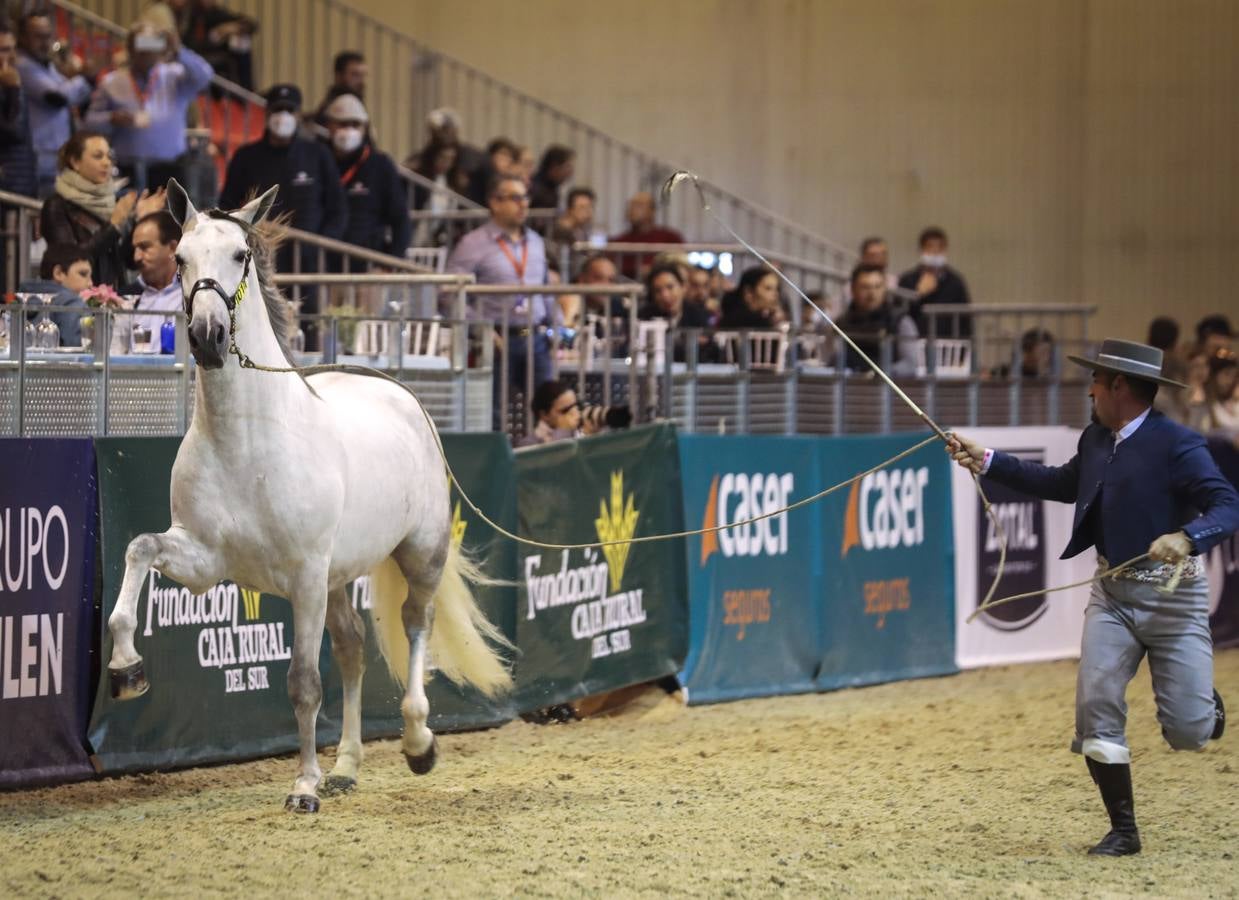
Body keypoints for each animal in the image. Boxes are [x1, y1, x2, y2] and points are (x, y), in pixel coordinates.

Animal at [104, 179, 510, 813]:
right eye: (180, 258)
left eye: (240, 255)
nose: (207, 338)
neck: (248, 443)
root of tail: (400, 395)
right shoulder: (202, 560)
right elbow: (139, 548)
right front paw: (126, 669)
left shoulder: (304, 577)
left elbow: (302, 682)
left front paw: (303, 787)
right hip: (340, 578)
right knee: (352, 649)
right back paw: (345, 767)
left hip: (418, 555)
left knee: (415, 625)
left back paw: (418, 743)